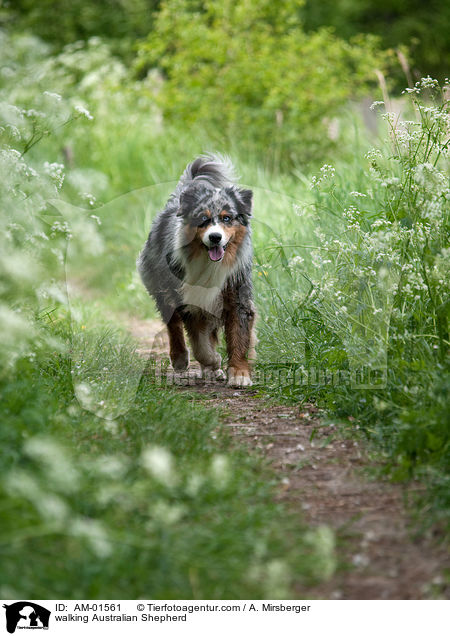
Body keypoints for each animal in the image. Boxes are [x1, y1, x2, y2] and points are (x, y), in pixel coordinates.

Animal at [136, 154, 256, 388]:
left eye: (227, 218)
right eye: (203, 219)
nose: (215, 237)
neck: (211, 264)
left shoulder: (237, 294)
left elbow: (238, 336)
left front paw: (239, 374)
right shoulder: (191, 302)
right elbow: (200, 345)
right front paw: (214, 362)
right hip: (162, 286)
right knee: (173, 324)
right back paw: (181, 359)